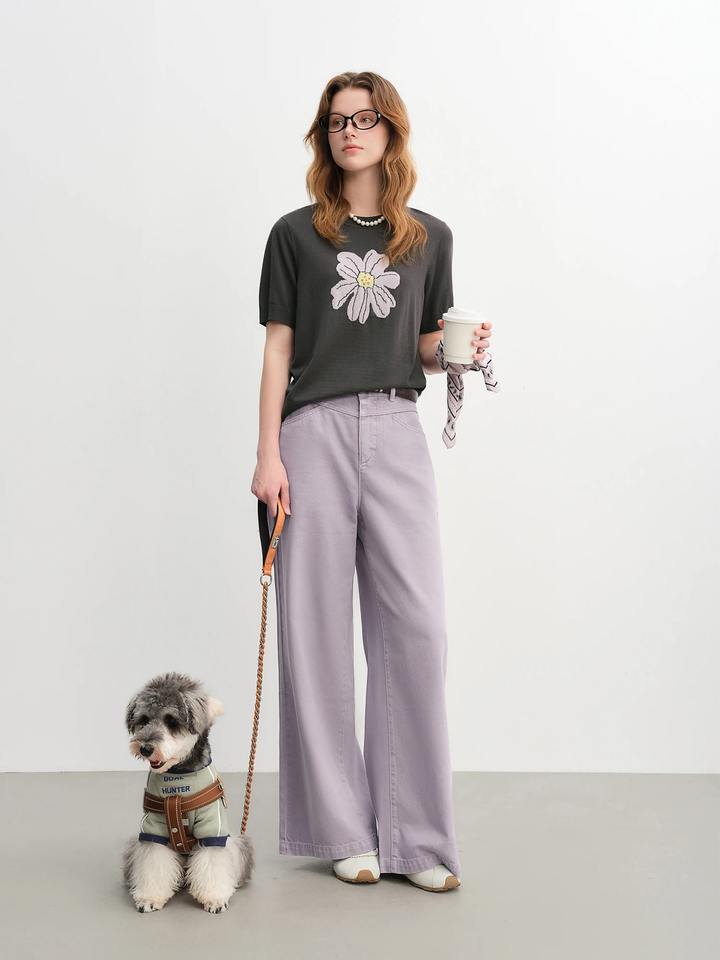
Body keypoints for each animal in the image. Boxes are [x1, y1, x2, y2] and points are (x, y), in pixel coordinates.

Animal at [123, 671, 254, 912]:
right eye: (143, 720)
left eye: (172, 721)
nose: (145, 748)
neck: (179, 775)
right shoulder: (153, 828)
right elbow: (154, 863)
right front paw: (150, 897)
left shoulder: (212, 829)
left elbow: (212, 863)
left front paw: (214, 898)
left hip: (236, 845)